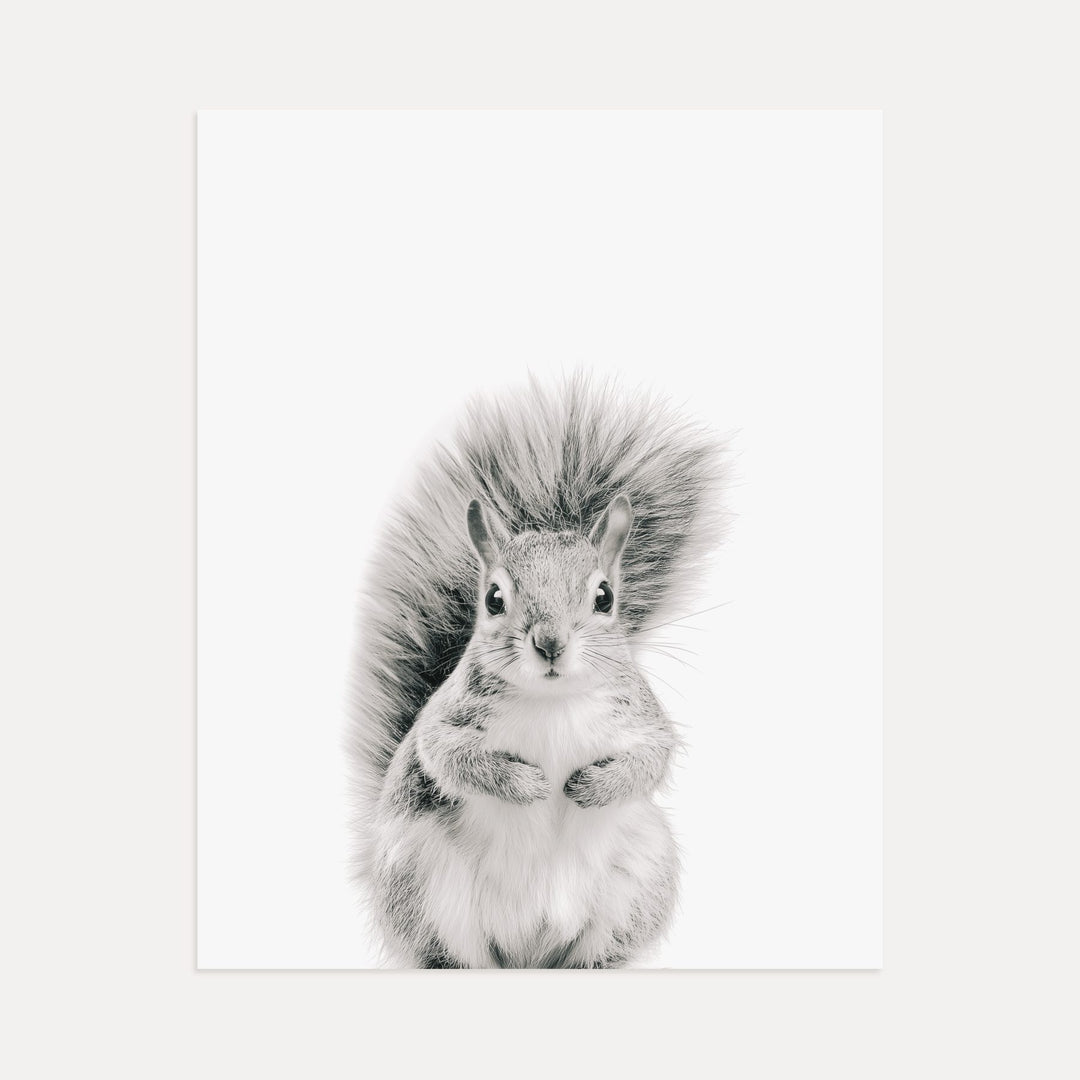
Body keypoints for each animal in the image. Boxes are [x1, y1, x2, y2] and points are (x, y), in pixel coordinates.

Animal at [347, 374, 729, 968]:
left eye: (604, 596)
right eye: (494, 599)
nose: (550, 643)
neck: (553, 702)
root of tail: (528, 954)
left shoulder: (640, 717)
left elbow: (650, 759)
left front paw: (588, 787)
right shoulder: (446, 721)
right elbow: (449, 757)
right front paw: (527, 784)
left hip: (639, 880)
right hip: (422, 884)